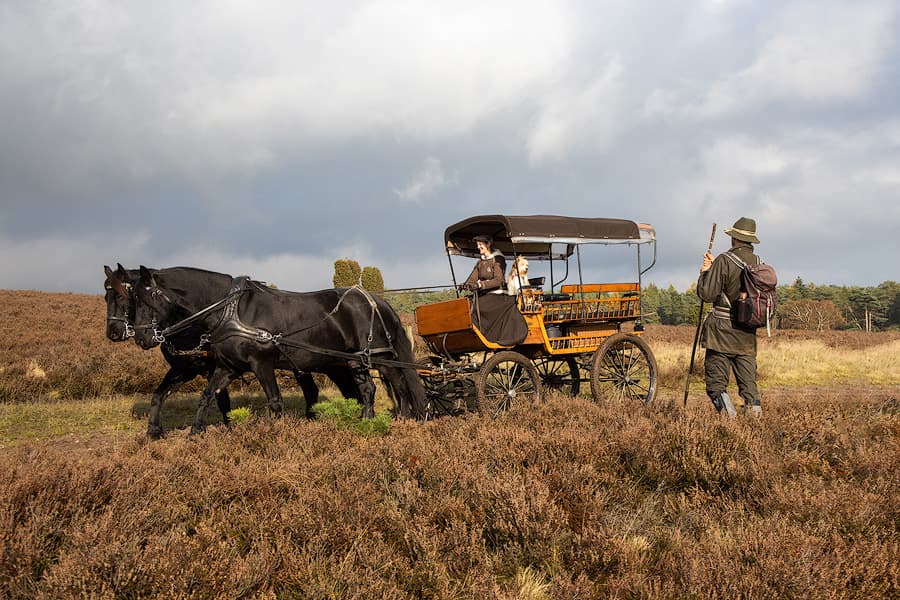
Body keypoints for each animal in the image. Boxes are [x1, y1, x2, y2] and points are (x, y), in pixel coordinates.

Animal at [125, 266, 428, 432]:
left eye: (144, 299)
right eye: (131, 299)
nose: (141, 338)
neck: (231, 310)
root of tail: (378, 301)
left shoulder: (262, 363)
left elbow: (275, 401)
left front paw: (277, 434)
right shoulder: (227, 367)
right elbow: (206, 396)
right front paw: (195, 433)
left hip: (379, 356)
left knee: (396, 385)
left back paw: (398, 418)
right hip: (356, 360)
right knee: (374, 388)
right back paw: (376, 419)